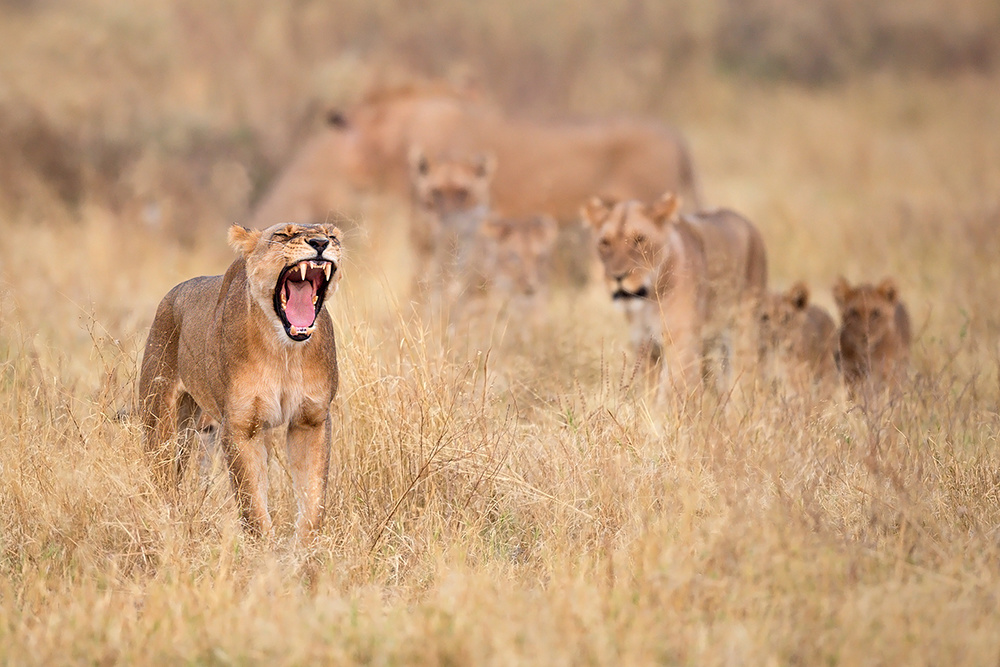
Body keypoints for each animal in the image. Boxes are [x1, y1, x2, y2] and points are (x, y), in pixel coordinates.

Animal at [139, 220, 344, 544]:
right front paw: (266, 549)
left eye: (331, 235)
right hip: (160, 419)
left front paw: (306, 548)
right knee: (160, 473)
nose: (320, 243)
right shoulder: (240, 424)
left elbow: (313, 496)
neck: (284, 350)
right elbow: (251, 500)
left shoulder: (311, 420)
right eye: (282, 235)